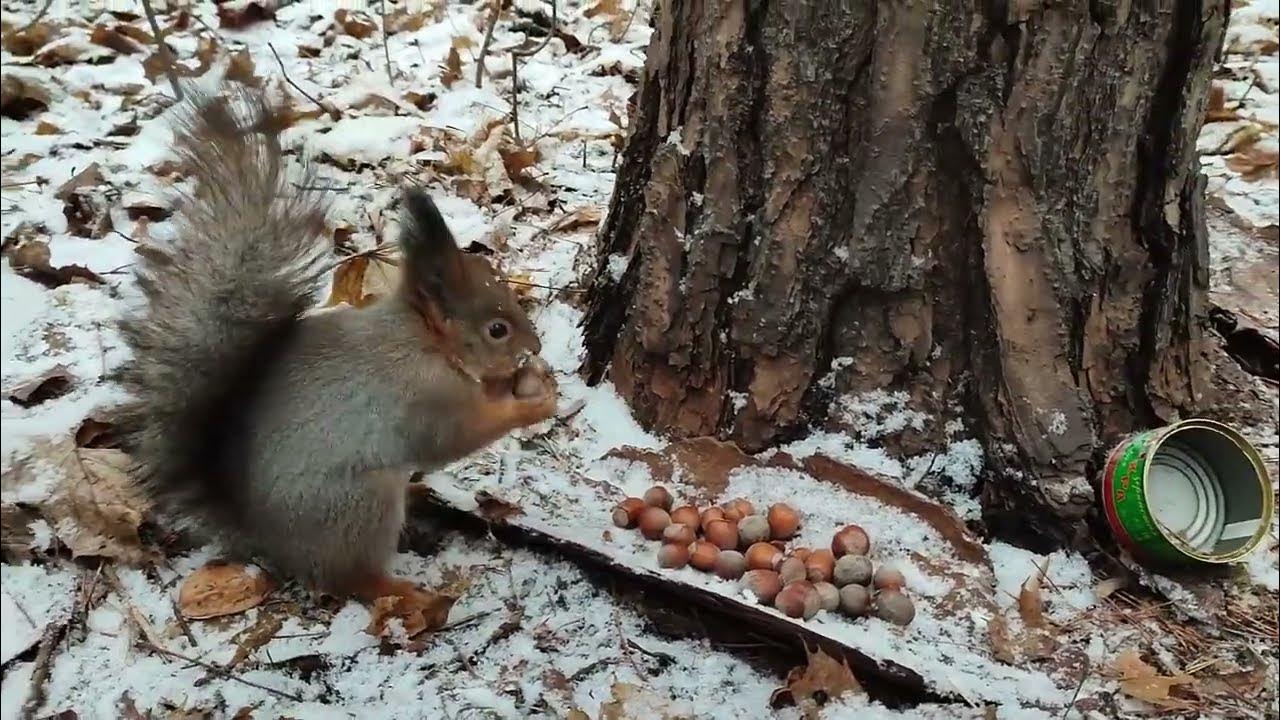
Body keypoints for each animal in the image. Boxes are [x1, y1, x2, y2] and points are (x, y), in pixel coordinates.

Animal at [117, 87, 558, 607]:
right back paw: (405, 592)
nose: (536, 343)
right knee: (352, 580)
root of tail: (265, 536)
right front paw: (533, 404)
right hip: (359, 506)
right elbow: (456, 437)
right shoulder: (423, 396)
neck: (424, 341)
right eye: (497, 329)